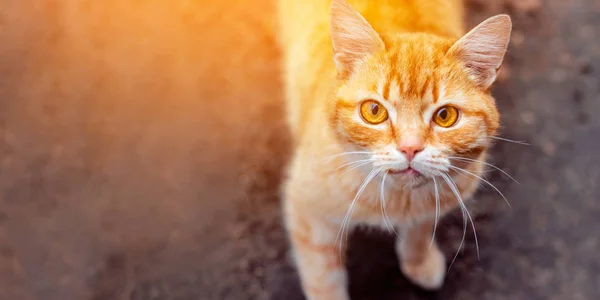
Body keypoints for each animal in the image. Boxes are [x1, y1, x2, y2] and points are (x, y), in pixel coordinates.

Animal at [278, 0, 510, 298]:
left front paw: (419, 261)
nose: (410, 148)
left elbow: (419, 230)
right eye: (374, 111)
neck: (398, 201)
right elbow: (323, 278)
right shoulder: (307, 213)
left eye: (445, 116)